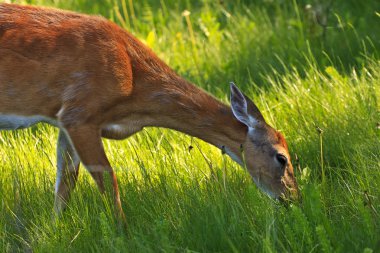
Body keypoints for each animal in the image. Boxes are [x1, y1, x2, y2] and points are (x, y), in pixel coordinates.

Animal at [0, 3, 298, 221]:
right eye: (281, 157)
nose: (294, 199)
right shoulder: (80, 112)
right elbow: (107, 179)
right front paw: (122, 232)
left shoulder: (65, 121)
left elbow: (64, 184)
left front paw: (54, 229)